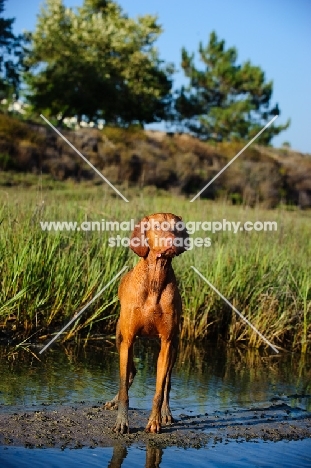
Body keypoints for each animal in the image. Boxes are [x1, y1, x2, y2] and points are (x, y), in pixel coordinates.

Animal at [105, 214, 189, 434]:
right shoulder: (128, 340)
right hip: (119, 337)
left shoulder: (166, 342)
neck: (155, 279)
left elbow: (159, 390)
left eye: (177, 227)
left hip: (174, 347)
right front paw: (121, 422)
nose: (173, 241)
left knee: (167, 382)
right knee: (129, 374)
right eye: (157, 226)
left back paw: (166, 413)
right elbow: (124, 389)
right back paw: (113, 401)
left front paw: (155, 421)